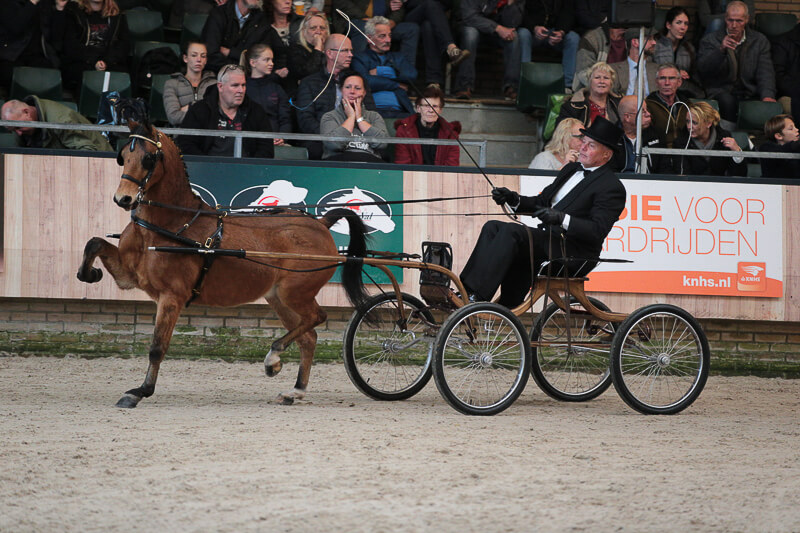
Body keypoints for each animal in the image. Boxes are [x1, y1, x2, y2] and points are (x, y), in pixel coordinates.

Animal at [76, 113, 369, 408]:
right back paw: (294, 390)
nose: (123, 198)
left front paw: (139, 391)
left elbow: (157, 348)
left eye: (148, 158)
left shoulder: (172, 296)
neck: (170, 224)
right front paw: (89, 274)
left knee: (317, 317)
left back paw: (273, 358)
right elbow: (94, 243)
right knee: (308, 336)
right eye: (123, 156)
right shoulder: (129, 275)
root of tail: (320, 223)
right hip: (278, 297)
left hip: (295, 292)